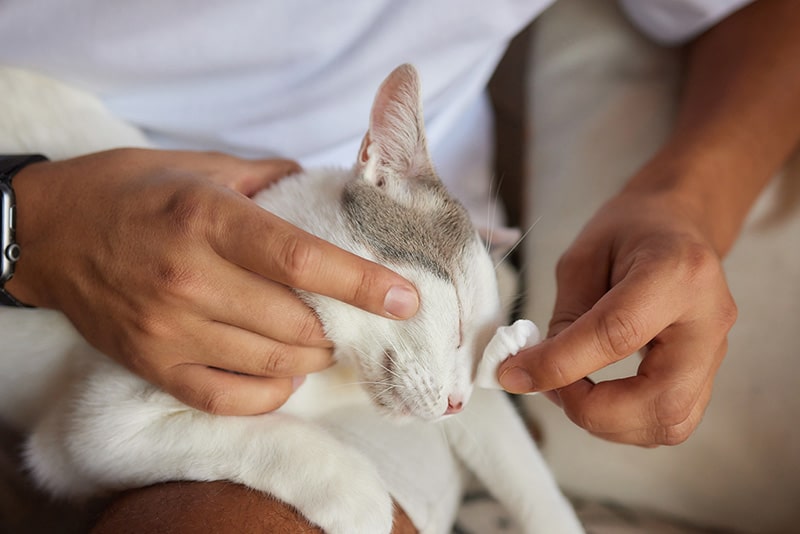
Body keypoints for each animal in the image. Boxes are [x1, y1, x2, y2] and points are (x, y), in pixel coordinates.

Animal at [0, 63, 580, 534]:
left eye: (484, 349)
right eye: (458, 315)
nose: (457, 402)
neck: (336, 377)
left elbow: (523, 468)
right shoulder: (88, 431)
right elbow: (265, 435)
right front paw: (360, 501)